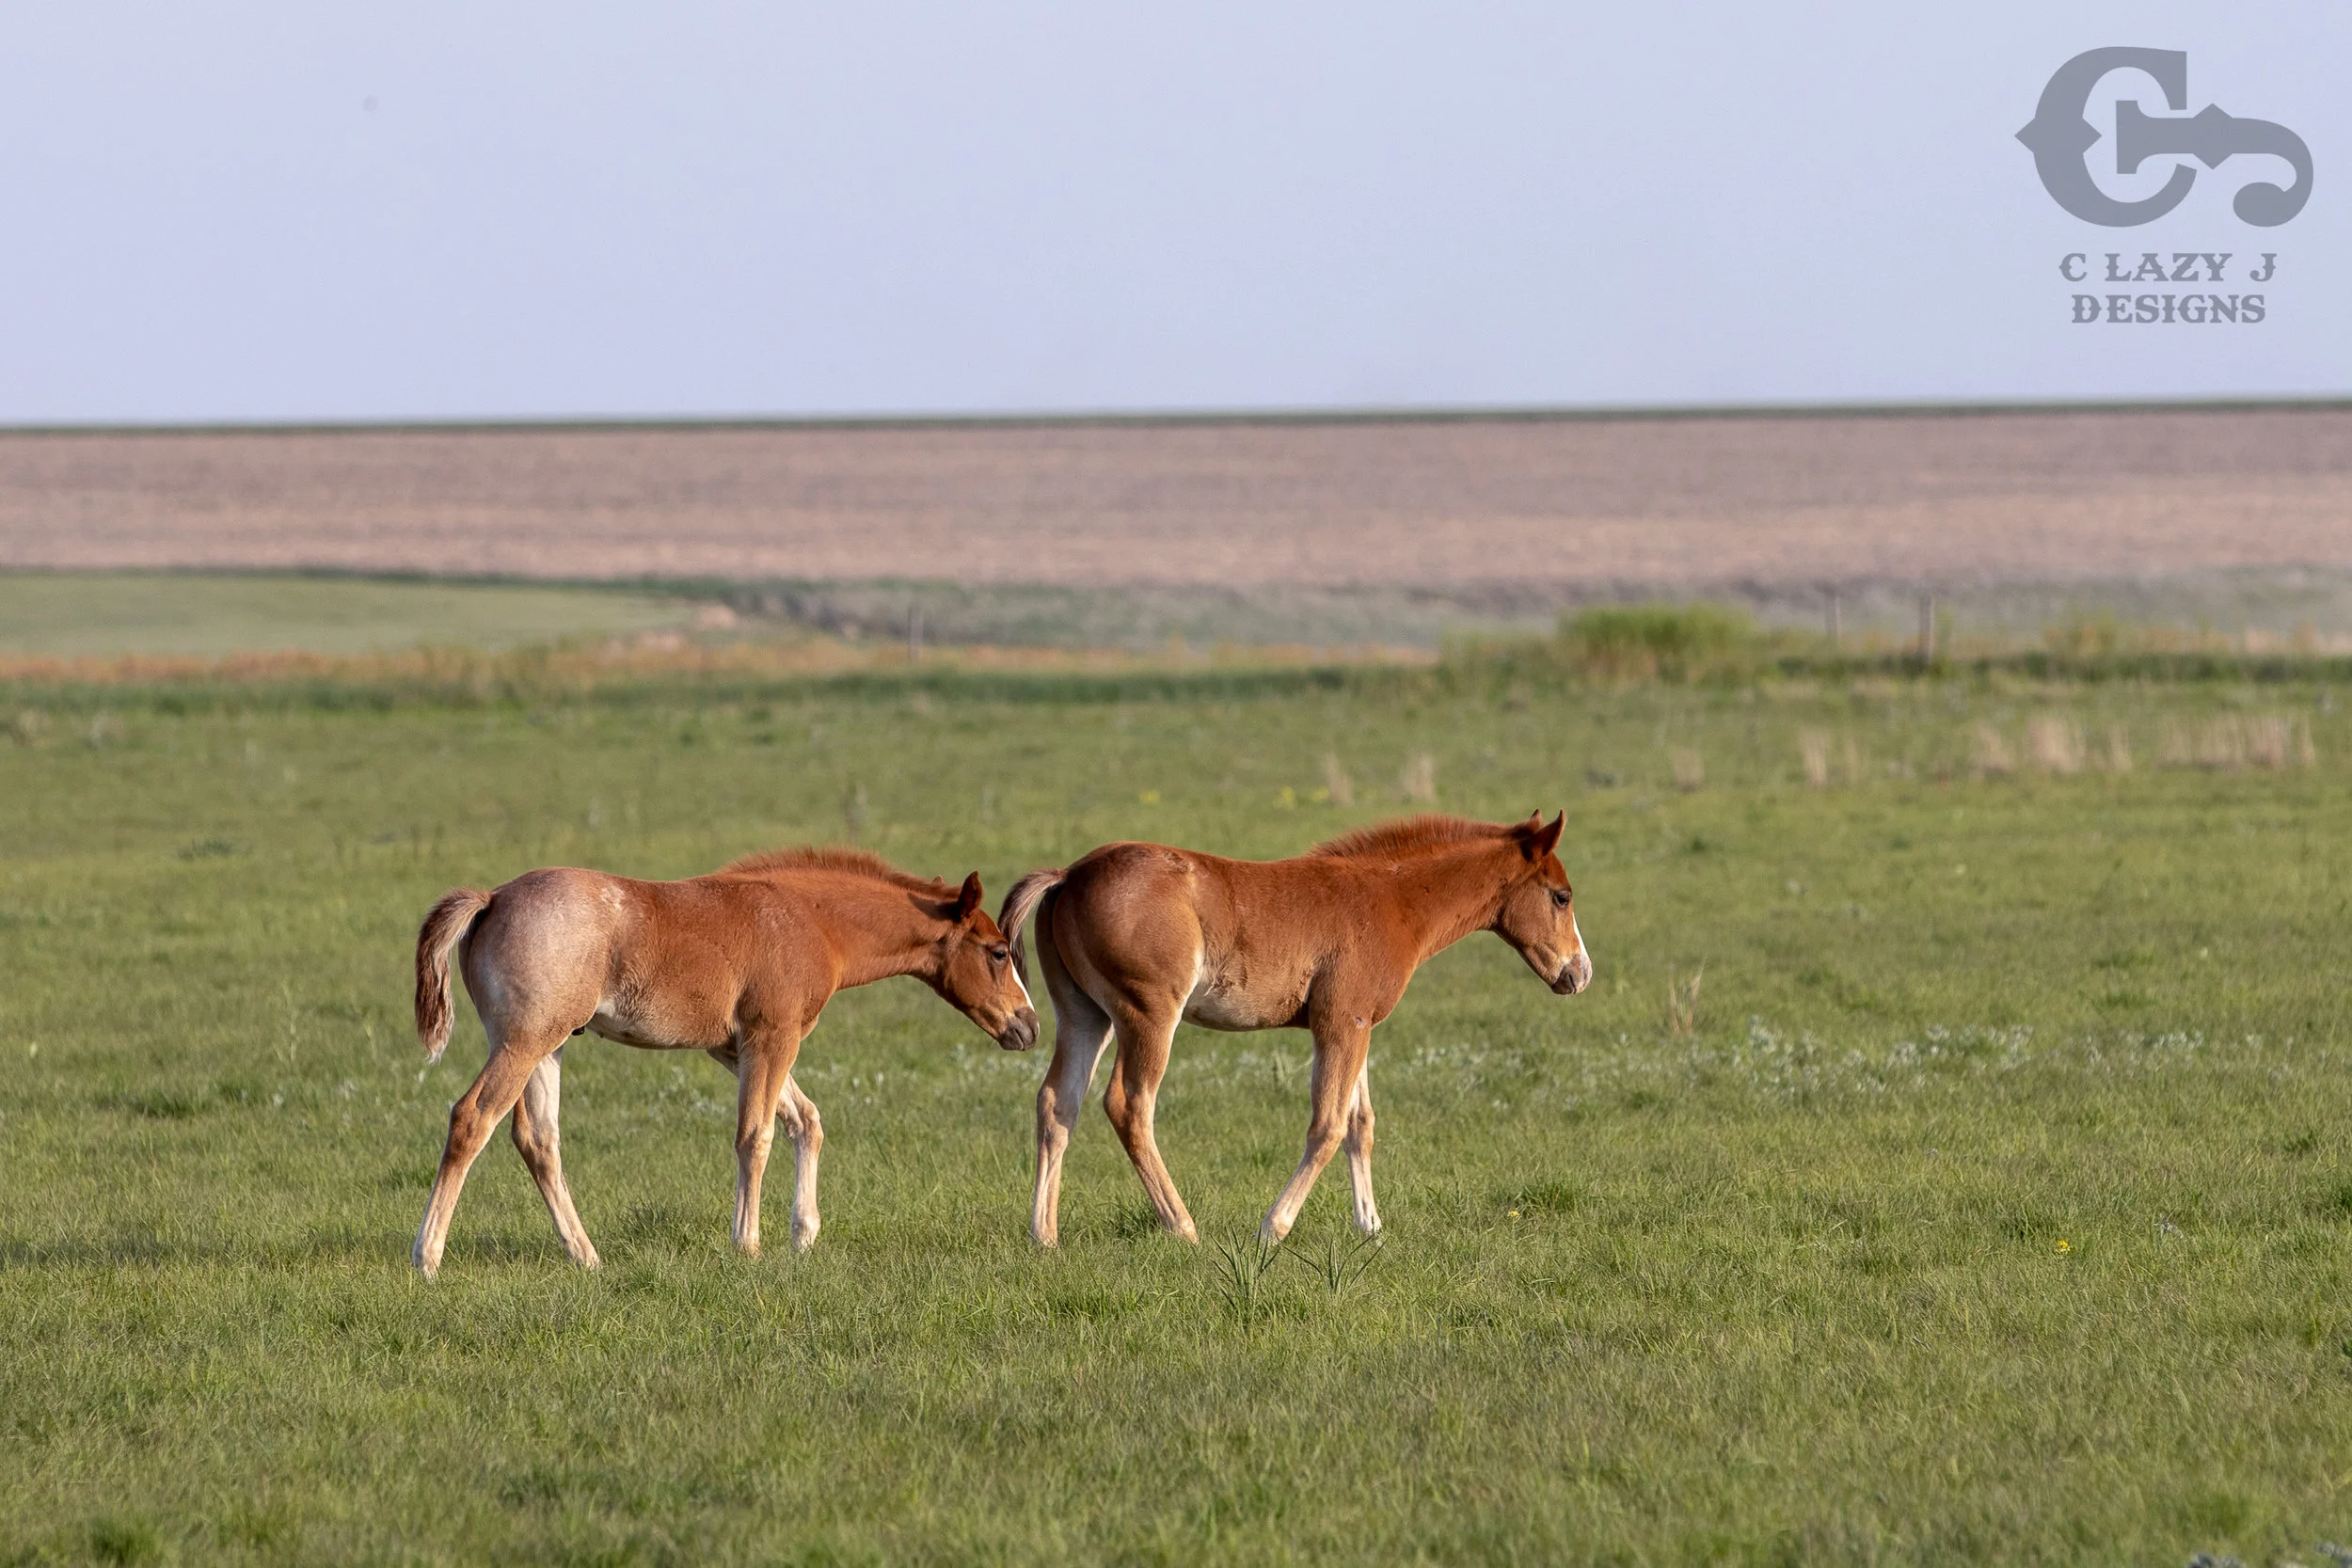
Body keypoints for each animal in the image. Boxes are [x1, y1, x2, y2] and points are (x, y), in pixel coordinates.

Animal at [409, 847, 1038, 1276]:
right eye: (998, 952)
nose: (1028, 1026)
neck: (810, 920)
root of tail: (491, 900)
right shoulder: (772, 1036)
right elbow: (756, 1135)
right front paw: (748, 1244)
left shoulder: (733, 1047)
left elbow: (805, 1120)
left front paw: (804, 1234)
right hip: (524, 1041)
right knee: (472, 1119)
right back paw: (427, 1255)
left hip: (550, 1046)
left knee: (538, 1140)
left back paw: (586, 1256)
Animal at [996, 812, 1590, 1248]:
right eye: (1561, 896)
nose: (1579, 974)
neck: (1391, 899)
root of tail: (1070, 876)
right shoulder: (1340, 1024)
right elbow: (1327, 1126)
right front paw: (1273, 1228)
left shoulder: (1358, 1026)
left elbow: (1359, 1125)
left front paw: (1371, 1228)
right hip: (1148, 1014)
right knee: (1128, 1105)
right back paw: (1183, 1227)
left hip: (1084, 1015)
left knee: (1057, 1103)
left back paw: (1043, 1236)